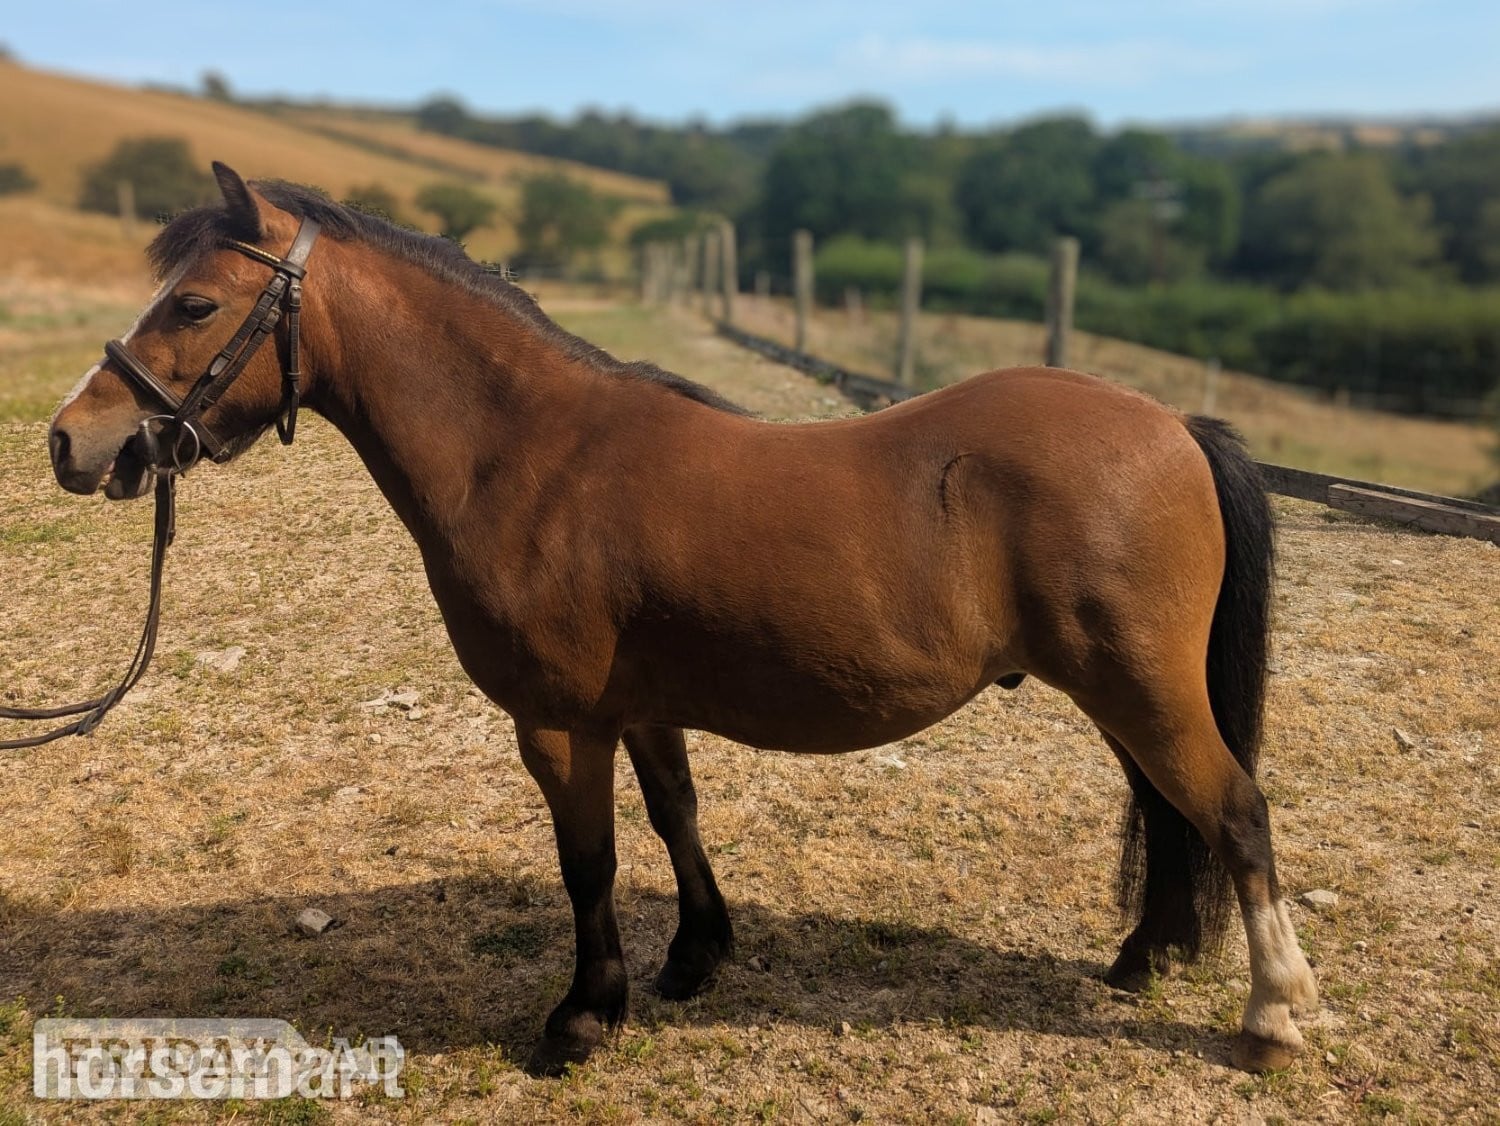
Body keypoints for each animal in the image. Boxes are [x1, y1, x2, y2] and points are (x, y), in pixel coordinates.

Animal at [48, 163, 1318, 1076]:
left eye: (194, 303)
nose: (73, 439)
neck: (533, 456)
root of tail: (1172, 424)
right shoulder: (642, 706)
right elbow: (676, 817)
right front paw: (697, 956)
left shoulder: (561, 722)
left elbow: (591, 860)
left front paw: (582, 1016)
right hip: (1127, 692)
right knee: (1175, 813)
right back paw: (1144, 959)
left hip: (1141, 687)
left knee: (1235, 813)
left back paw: (1273, 1017)